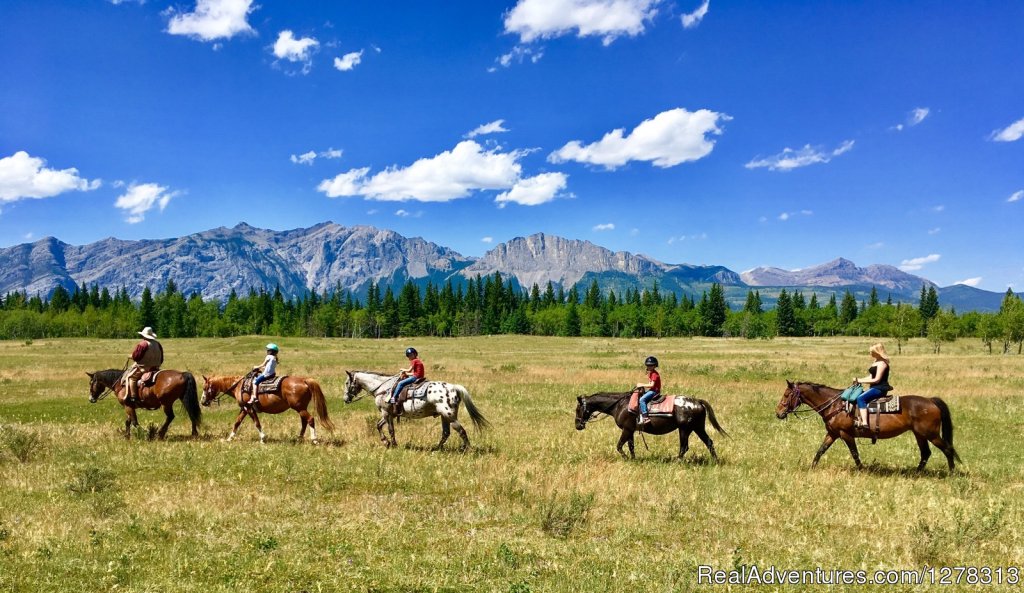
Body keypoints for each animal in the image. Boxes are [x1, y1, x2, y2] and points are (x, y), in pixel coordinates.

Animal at [203, 372, 335, 442]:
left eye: (205, 388)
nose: (203, 402)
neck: (239, 386)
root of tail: (304, 380)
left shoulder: (249, 408)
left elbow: (257, 423)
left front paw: (262, 438)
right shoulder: (244, 408)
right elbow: (237, 422)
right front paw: (230, 438)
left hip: (300, 408)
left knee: (310, 419)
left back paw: (314, 439)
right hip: (301, 408)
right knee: (304, 422)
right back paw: (299, 438)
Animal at [342, 370, 489, 450]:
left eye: (347, 383)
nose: (345, 399)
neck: (383, 388)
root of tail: (454, 388)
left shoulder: (386, 413)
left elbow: (389, 429)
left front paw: (392, 444)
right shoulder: (390, 414)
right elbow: (379, 426)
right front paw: (387, 442)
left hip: (449, 416)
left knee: (461, 431)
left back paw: (468, 449)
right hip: (444, 416)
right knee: (446, 433)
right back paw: (437, 448)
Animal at [577, 391, 729, 460]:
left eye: (578, 409)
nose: (578, 426)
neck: (620, 405)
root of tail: (697, 401)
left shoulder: (626, 430)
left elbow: (619, 446)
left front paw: (625, 458)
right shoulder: (630, 430)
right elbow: (631, 446)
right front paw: (633, 459)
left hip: (685, 429)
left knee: (684, 447)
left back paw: (677, 461)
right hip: (697, 428)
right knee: (709, 442)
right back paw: (715, 461)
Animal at [774, 380, 958, 473]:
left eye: (786, 394)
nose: (778, 413)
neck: (836, 406)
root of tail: (931, 401)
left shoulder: (846, 434)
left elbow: (855, 454)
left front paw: (862, 470)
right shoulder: (832, 434)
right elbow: (820, 451)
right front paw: (811, 468)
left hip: (931, 434)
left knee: (947, 449)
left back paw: (951, 473)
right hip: (920, 434)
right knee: (926, 453)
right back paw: (916, 473)